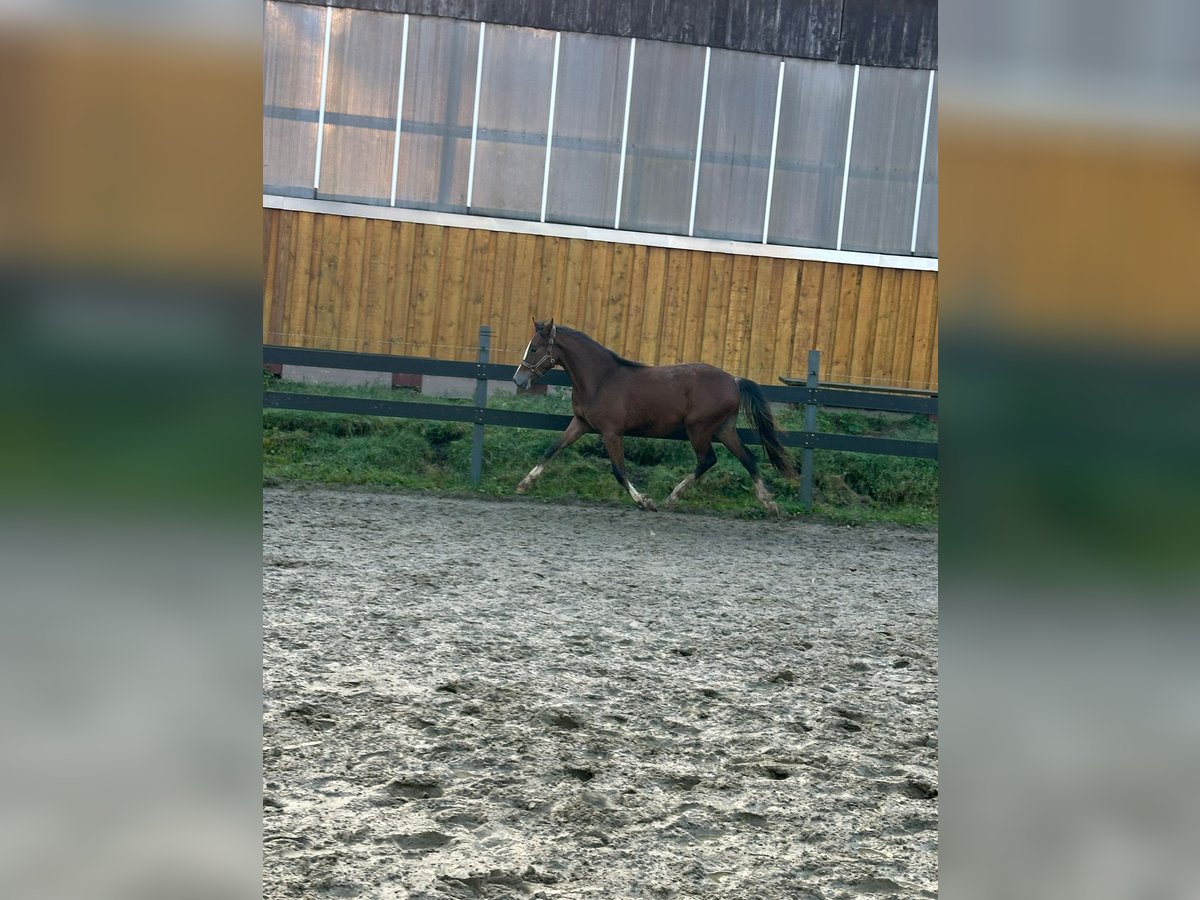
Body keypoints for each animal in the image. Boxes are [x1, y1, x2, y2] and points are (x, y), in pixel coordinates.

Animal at [508, 321, 796, 513]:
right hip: (724, 429)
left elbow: (619, 470)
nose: (518, 380)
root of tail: (733, 381)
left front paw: (644, 501)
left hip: (699, 429)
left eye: (534, 349)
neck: (601, 379)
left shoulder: (612, 432)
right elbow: (552, 449)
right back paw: (769, 504)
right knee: (748, 458)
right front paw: (524, 484)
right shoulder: (580, 424)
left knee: (708, 460)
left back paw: (672, 497)